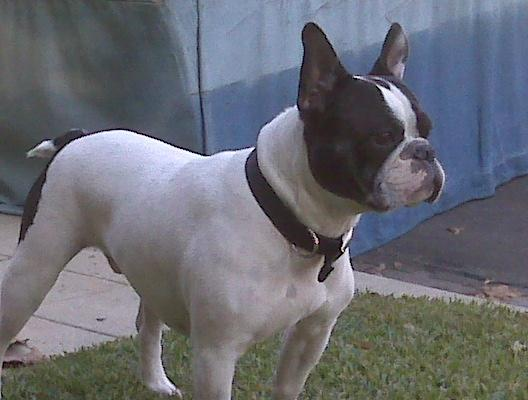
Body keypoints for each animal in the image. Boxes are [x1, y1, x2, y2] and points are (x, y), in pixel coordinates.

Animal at [0, 22, 444, 399]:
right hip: (33, 271)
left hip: (150, 267)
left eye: (427, 129)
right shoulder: (217, 353)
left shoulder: (311, 334)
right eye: (381, 137)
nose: (425, 152)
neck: (291, 222)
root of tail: (77, 138)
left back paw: (155, 382)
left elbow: (287, 387)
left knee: (148, 322)